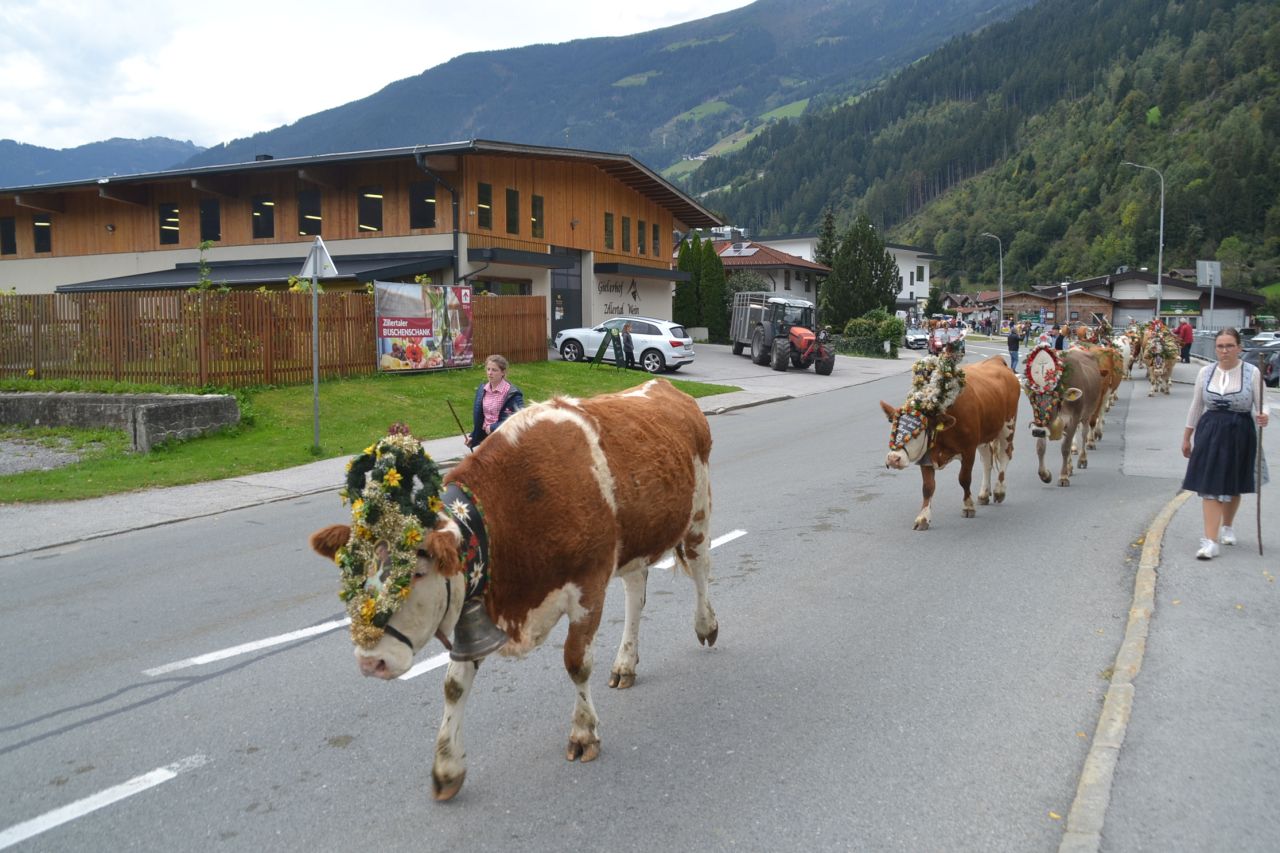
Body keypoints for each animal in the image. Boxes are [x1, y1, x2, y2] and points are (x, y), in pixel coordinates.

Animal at [304, 379, 716, 799]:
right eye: (354, 572)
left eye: (416, 573)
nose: (372, 661)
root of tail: (665, 386)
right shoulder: (474, 606)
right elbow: (454, 685)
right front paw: (447, 768)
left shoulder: (588, 589)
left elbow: (576, 663)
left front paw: (583, 733)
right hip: (636, 543)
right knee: (636, 591)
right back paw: (625, 664)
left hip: (698, 513)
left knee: (700, 569)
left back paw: (706, 626)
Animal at [875, 350, 1013, 525]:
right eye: (894, 426)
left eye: (918, 431)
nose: (893, 458)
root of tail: (996, 359)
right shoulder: (926, 456)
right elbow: (928, 487)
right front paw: (923, 517)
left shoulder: (968, 450)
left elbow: (964, 479)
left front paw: (968, 507)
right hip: (984, 434)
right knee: (987, 460)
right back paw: (984, 494)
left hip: (1008, 426)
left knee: (1005, 456)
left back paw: (999, 491)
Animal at [1018, 340, 1100, 484]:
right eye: (1032, 400)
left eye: (1057, 399)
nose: (1037, 432)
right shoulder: (1043, 425)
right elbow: (1040, 448)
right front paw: (1045, 475)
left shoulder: (1074, 419)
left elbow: (1065, 448)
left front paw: (1063, 477)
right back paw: (1069, 467)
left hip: (1087, 414)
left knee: (1084, 434)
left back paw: (1082, 459)